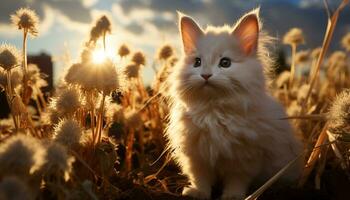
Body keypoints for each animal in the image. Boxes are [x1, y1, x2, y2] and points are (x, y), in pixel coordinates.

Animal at [165, 8, 302, 199]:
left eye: (225, 63)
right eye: (197, 62)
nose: (205, 75)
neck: (214, 111)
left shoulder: (245, 159)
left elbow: (236, 181)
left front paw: (232, 196)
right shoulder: (197, 157)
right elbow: (201, 179)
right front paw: (197, 193)